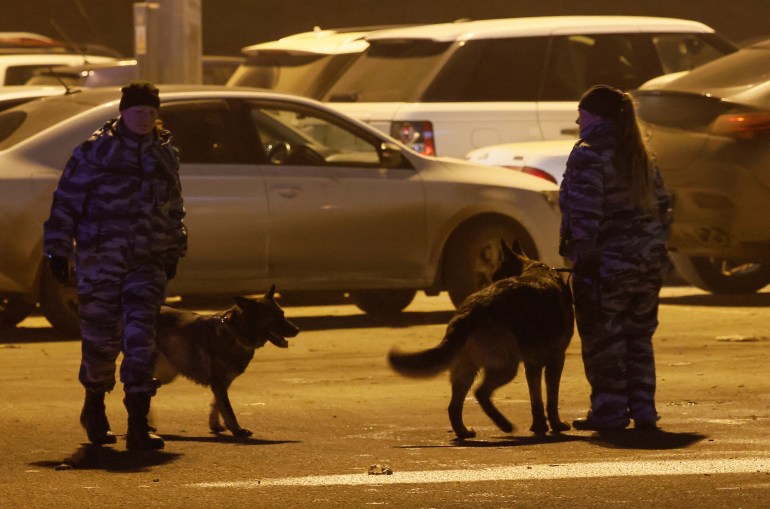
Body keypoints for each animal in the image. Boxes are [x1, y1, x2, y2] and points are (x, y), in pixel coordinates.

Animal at [152, 286, 296, 436]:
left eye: (282, 313)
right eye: (274, 316)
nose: (297, 330)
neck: (234, 333)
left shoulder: (223, 383)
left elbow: (217, 405)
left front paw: (215, 424)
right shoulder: (218, 383)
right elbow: (228, 409)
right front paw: (237, 429)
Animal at [388, 240, 572, 438]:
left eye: (496, 276)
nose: (488, 283)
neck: (534, 269)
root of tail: (470, 310)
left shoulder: (532, 364)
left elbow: (536, 399)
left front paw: (539, 426)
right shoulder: (555, 360)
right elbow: (551, 399)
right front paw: (556, 425)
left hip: (468, 370)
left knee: (454, 406)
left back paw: (463, 432)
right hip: (506, 366)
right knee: (480, 393)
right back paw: (504, 425)